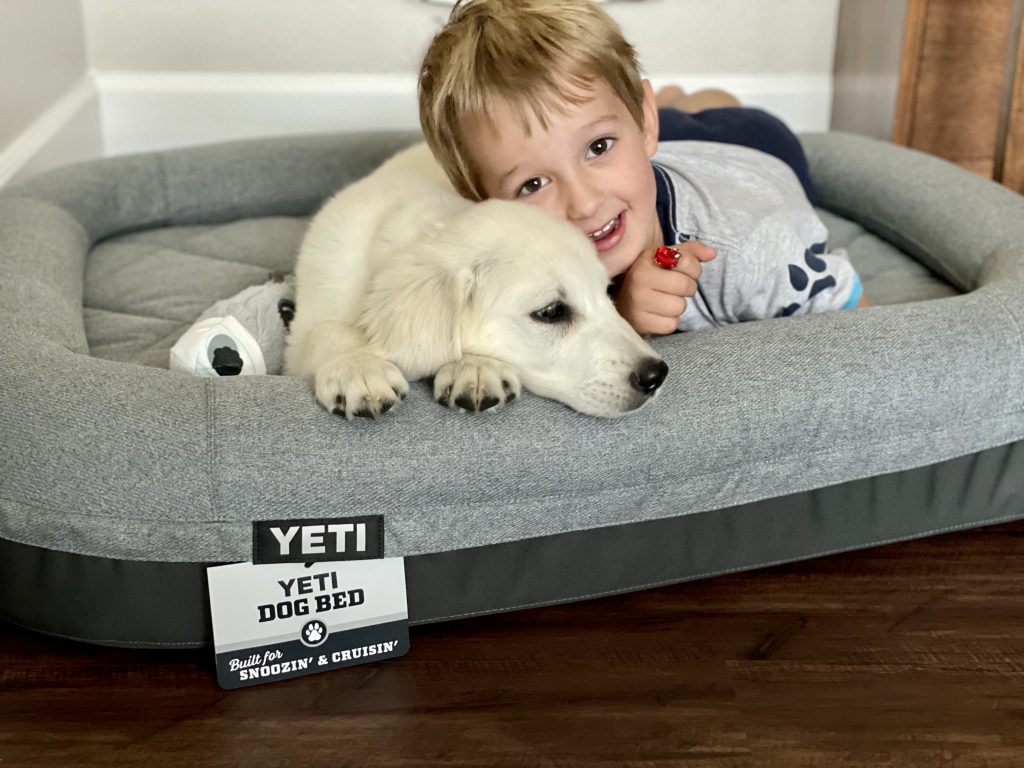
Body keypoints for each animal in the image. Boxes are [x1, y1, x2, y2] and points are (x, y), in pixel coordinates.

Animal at [284, 144, 667, 421]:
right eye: (551, 312)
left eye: (607, 292)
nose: (656, 375)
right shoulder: (302, 333)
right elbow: (327, 330)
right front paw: (357, 368)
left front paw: (477, 367)